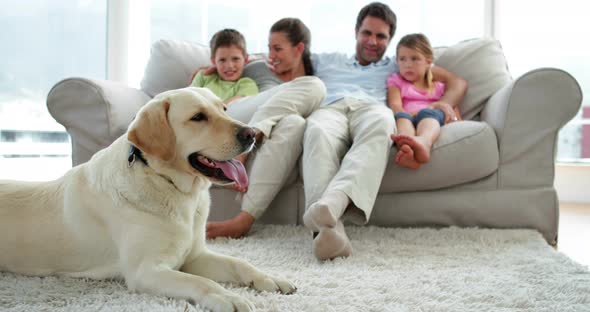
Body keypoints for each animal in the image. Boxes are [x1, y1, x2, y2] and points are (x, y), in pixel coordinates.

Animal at [0, 86, 296, 310]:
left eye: (223, 109)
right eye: (198, 117)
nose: (251, 133)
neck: (174, 188)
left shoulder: (195, 256)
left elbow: (239, 262)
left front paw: (270, 278)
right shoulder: (147, 271)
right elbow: (200, 282)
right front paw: (228, 297)